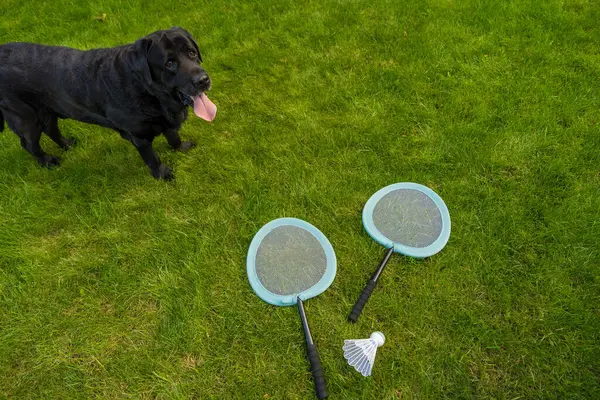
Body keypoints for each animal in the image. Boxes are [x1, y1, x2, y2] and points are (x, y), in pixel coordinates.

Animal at [0, 27, 216, 180]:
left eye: (191, 53)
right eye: (169, 64)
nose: (203, 80)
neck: (146, 91)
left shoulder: (164, 120)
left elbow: (172, 136)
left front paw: (181, 147)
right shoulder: (139, 136)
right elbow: (152, 158)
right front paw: (163, 174)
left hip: (48, 108)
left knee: (51, 128)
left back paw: (67, 144)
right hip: (25, 117)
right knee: (29, 143)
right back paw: (48, 161)